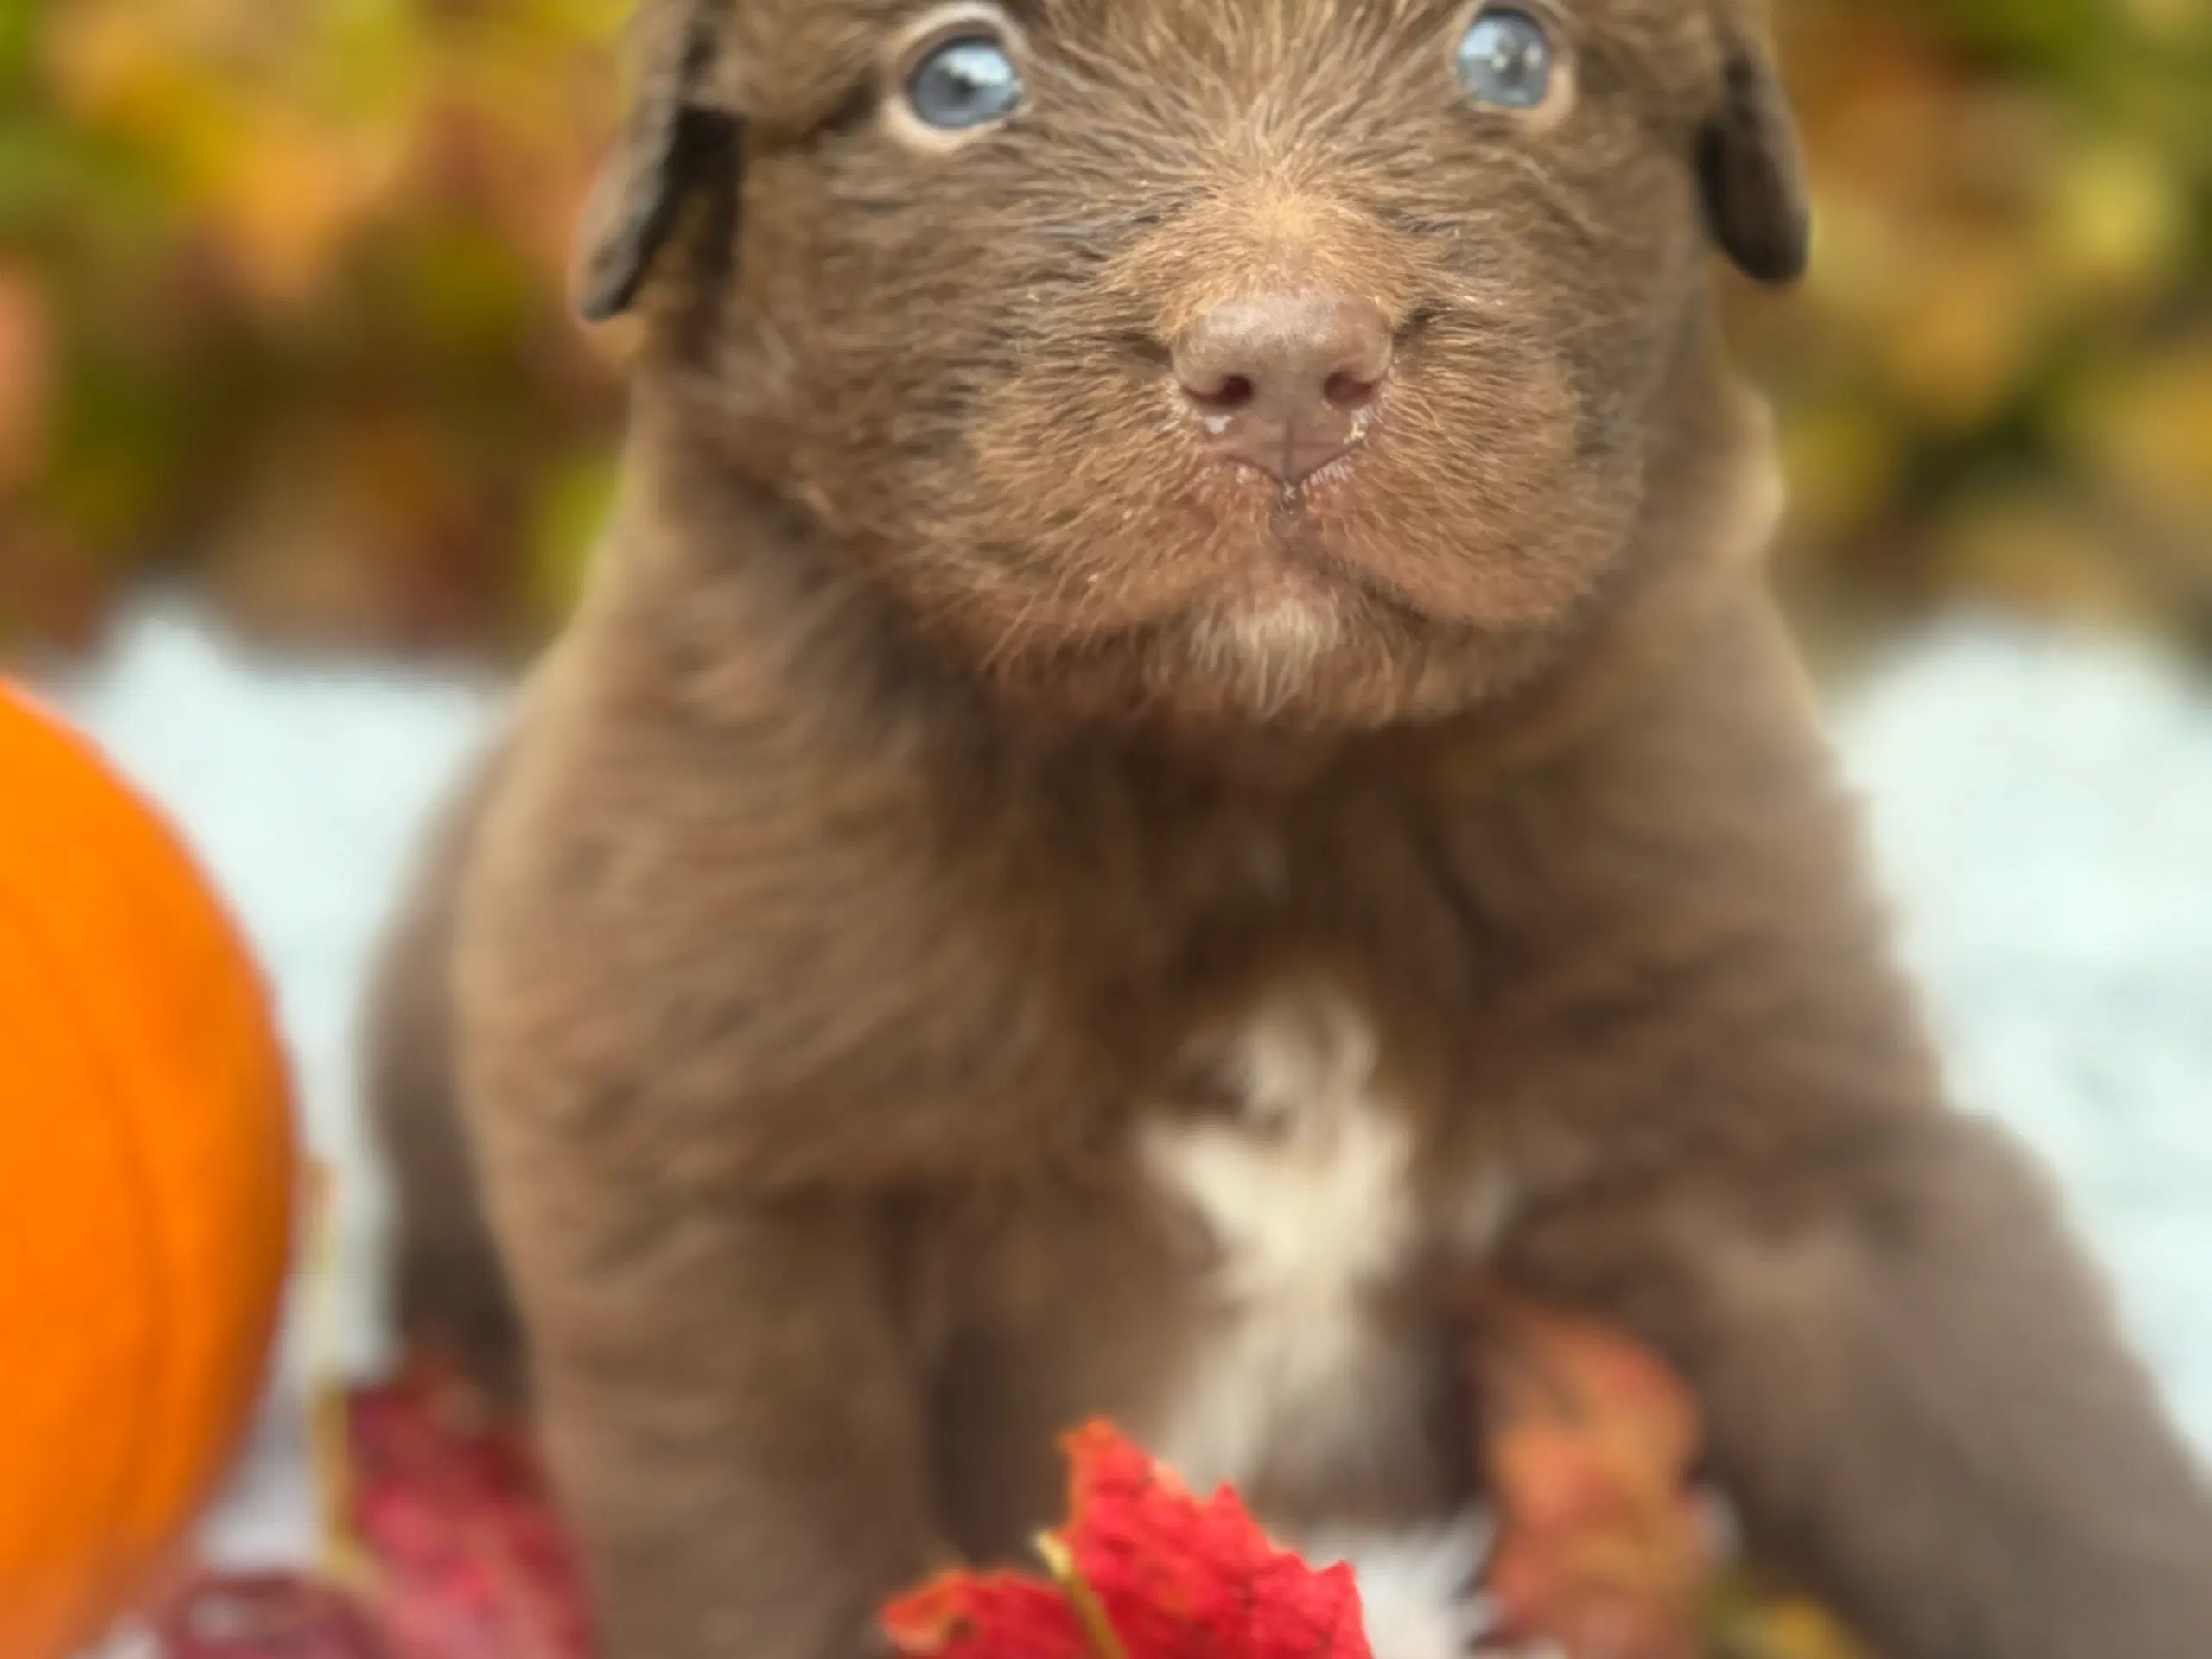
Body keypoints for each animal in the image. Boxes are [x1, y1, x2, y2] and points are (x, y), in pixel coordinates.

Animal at [376, 3, 2212, 1659]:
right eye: (957, 81)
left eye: (1509, 54)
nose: (1284, 372)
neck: (1254, 778)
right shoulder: (724, 1192)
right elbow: (780, 1556)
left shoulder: (1790, 1135)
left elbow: (2041, 1470)